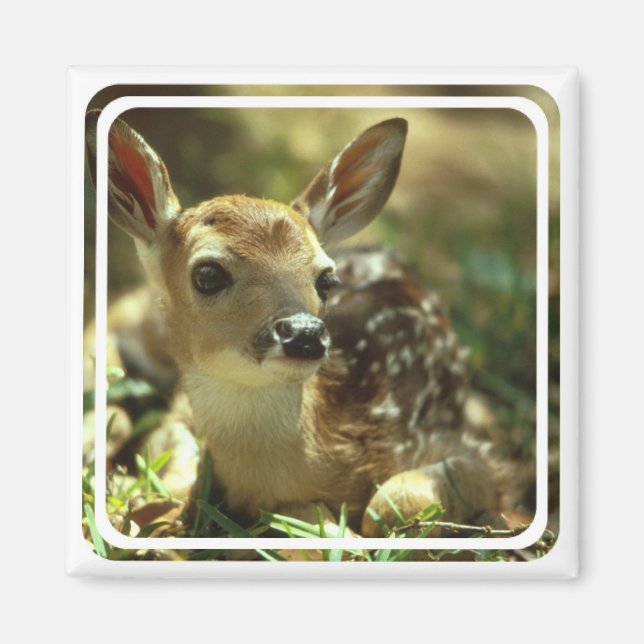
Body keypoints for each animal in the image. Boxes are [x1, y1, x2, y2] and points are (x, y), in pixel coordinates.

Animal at [85, 111, 509, 538]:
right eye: (207, 274)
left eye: (326, 279)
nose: (305, 333)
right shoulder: (180, 413)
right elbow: (171, 469)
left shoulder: (470, 448)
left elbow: (392, 506)